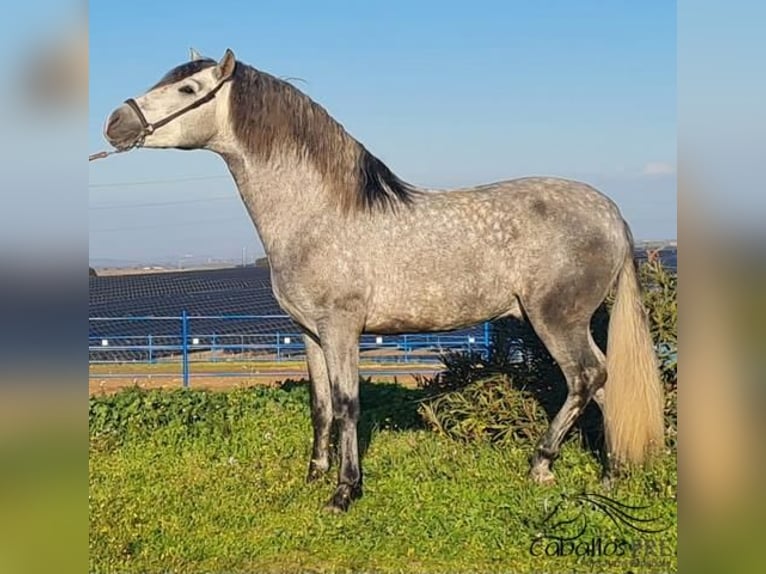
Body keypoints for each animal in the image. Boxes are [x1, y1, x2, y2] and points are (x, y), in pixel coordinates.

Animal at [103, 49, 664, 516]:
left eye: (188, 89)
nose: (115, 122)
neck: (319, 216)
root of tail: (610, 213)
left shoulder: (343, 329)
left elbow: (348, 405)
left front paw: (344, 491)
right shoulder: (310, 333)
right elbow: (321, 405)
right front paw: (315, 474)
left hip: (556, 319)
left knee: (587, 377)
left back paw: (543, 464)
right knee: (606, 381)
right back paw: (612, 472)